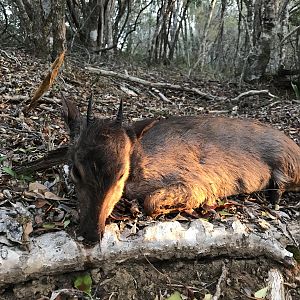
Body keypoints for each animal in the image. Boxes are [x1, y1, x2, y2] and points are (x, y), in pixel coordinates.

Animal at [62, 98, 298, 241]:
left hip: (285, 164)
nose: (91, 234)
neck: (139, 161)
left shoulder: (197, 183)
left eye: (121, 174)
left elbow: (151, 202)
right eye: (75, 171)